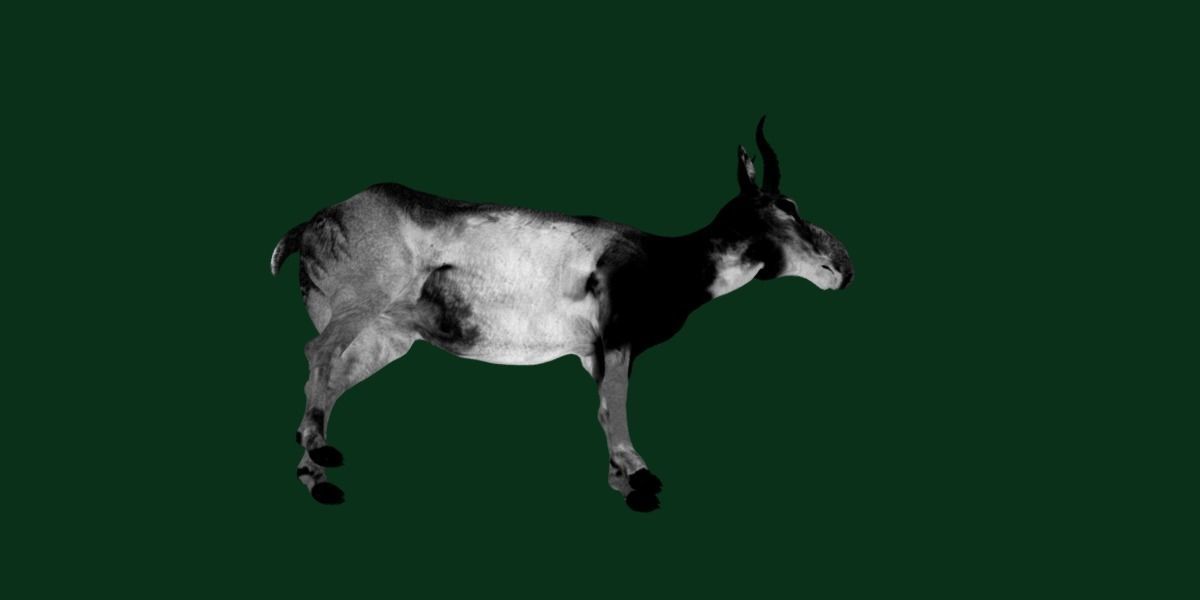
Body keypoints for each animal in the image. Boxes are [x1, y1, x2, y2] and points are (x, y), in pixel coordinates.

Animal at [270, 117, 854, 511]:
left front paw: (622, 480)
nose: (842, 268)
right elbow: (615, 406)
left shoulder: (594, 354)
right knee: (316, 353)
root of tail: (315, 221)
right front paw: (641, 478)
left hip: (385, 341)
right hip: (360, 310)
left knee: (330, 380)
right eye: (789, 207)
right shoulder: (616, 340)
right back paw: (322, 459)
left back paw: (321, 477)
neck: (666, 259)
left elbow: (602, 408)